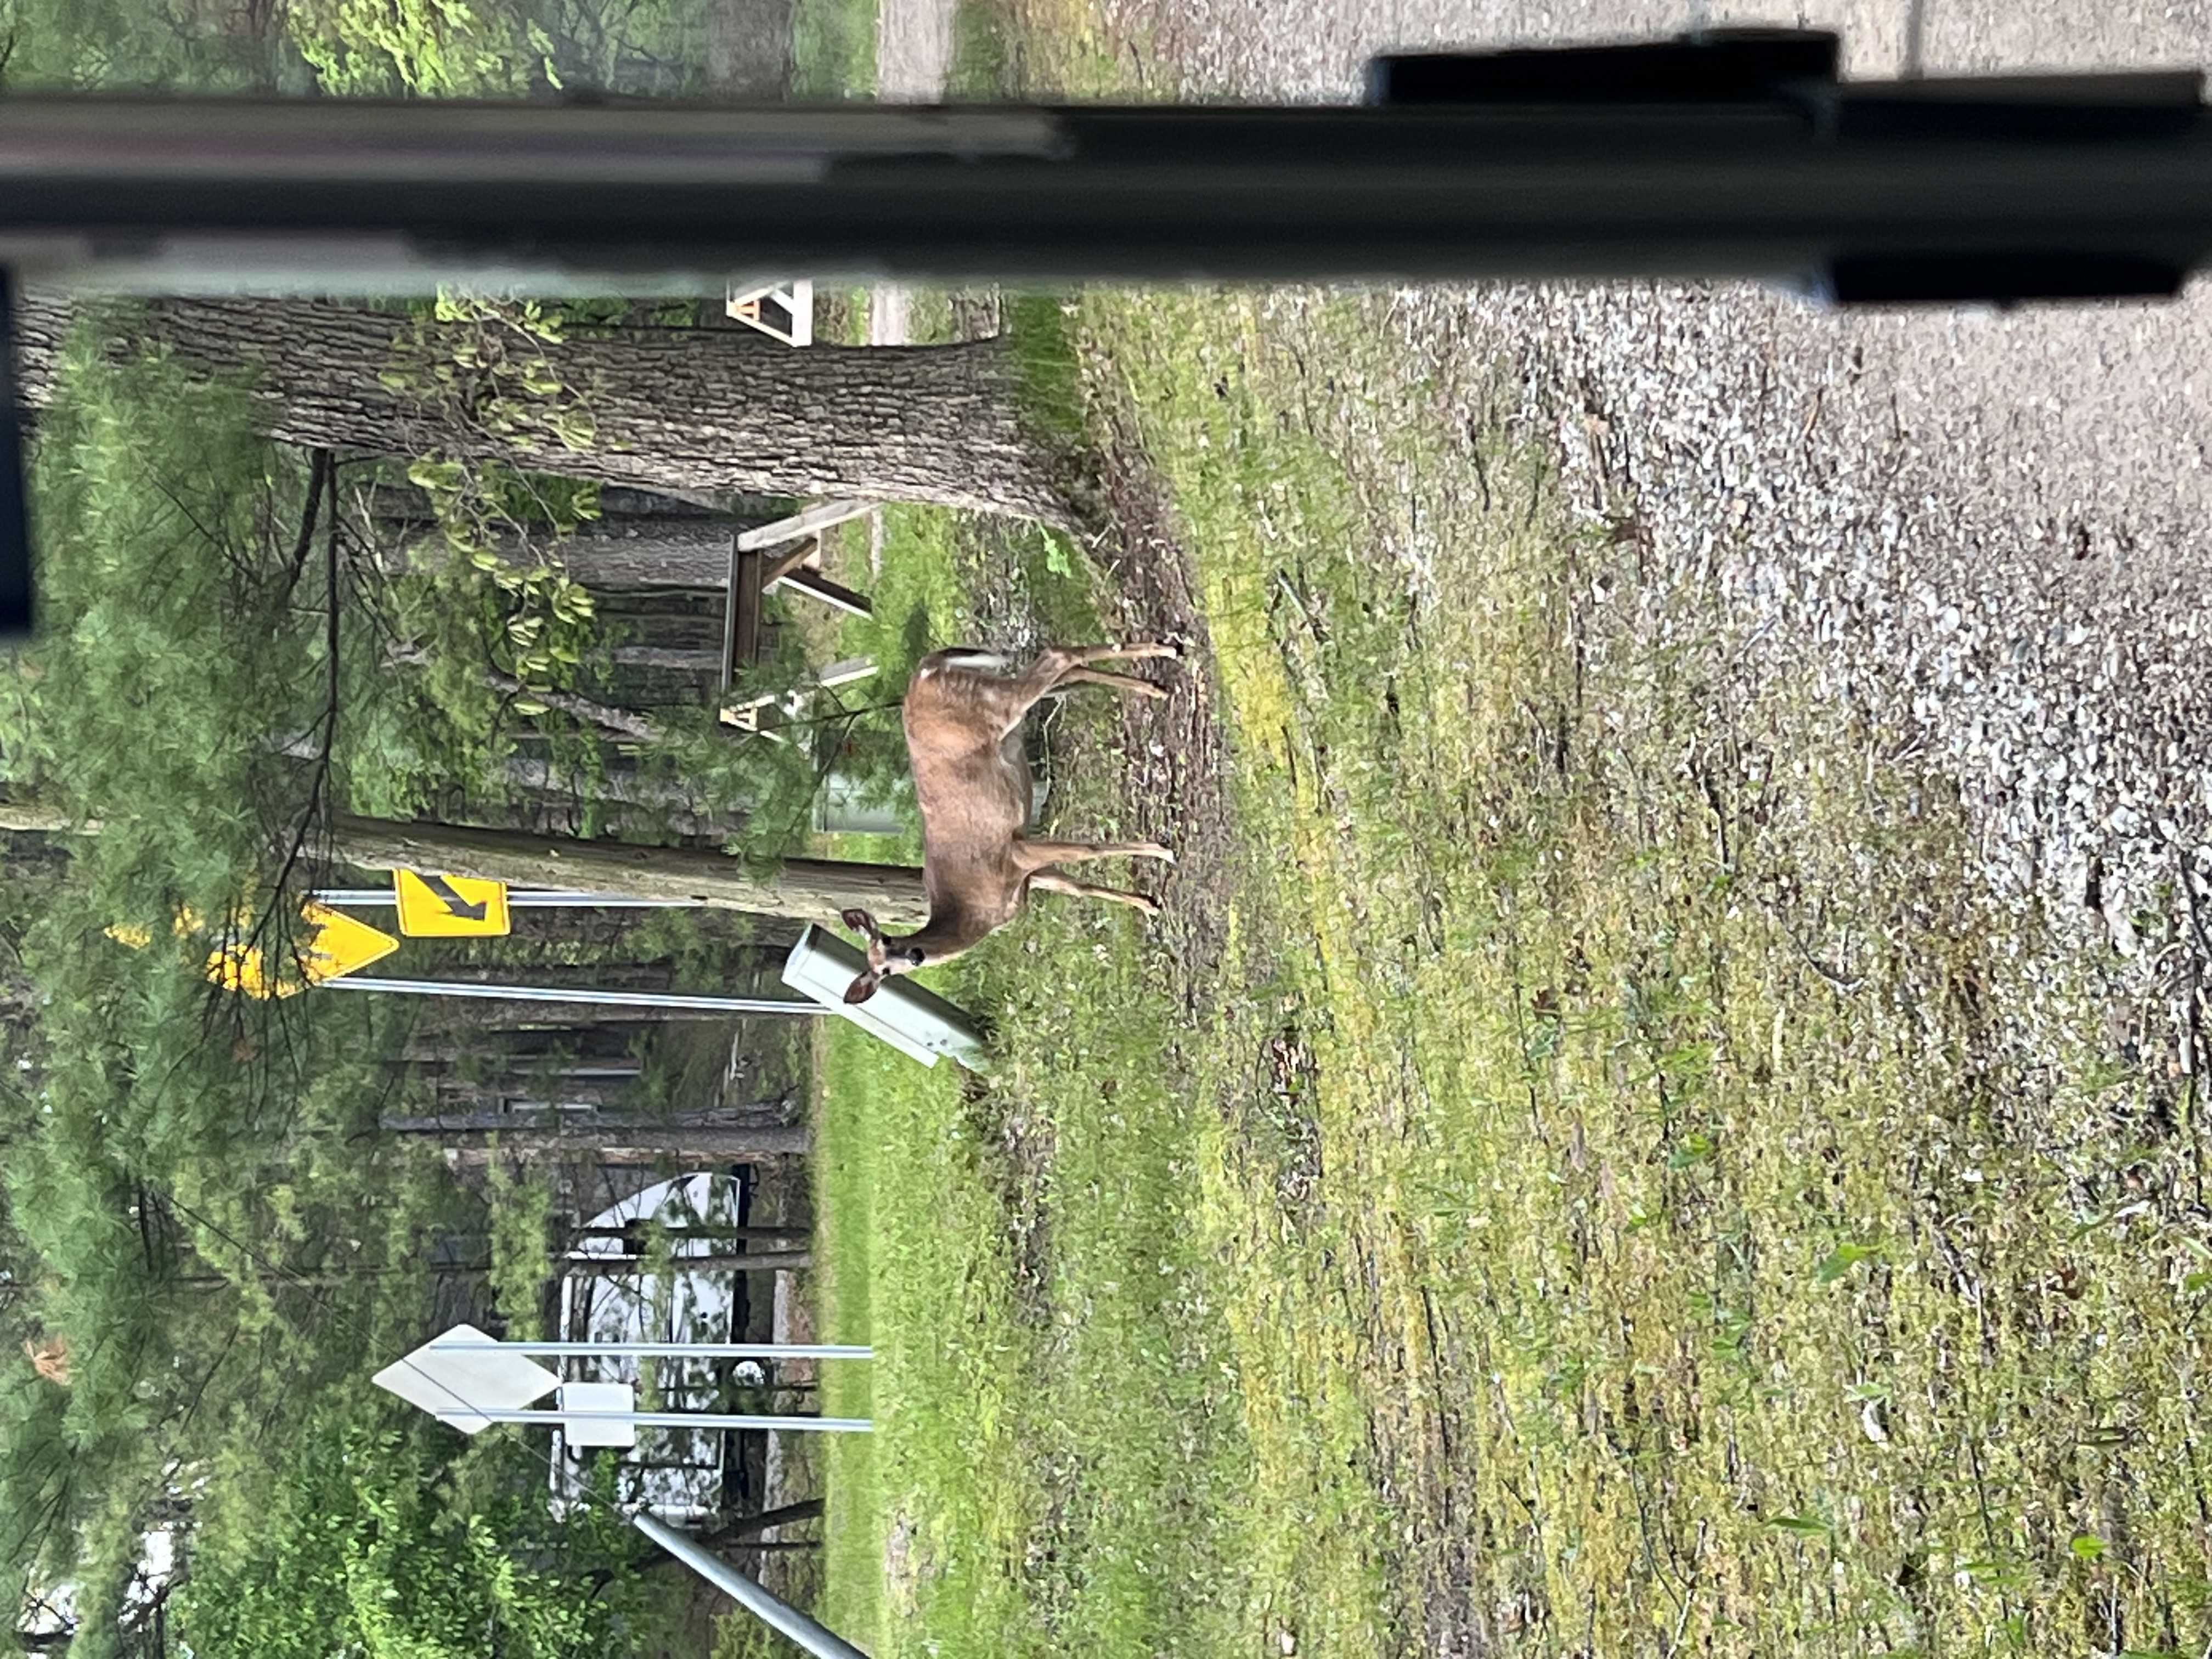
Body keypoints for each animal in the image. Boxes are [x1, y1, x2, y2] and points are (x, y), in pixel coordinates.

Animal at [838, 643, 1181, 1005]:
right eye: (884, 971)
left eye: (888, 940)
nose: (915, 956)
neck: (976, 910)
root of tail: (924, 670)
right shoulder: (1028, 875)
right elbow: (1079, 886)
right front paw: (1148, 904)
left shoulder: (1013, 850)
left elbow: (1087, 850)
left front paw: (1163, 851)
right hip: (995, 691)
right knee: (1061, 671)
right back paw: (1155, 686)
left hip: (996, 703)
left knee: (1056, 657)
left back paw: (1165, 654)